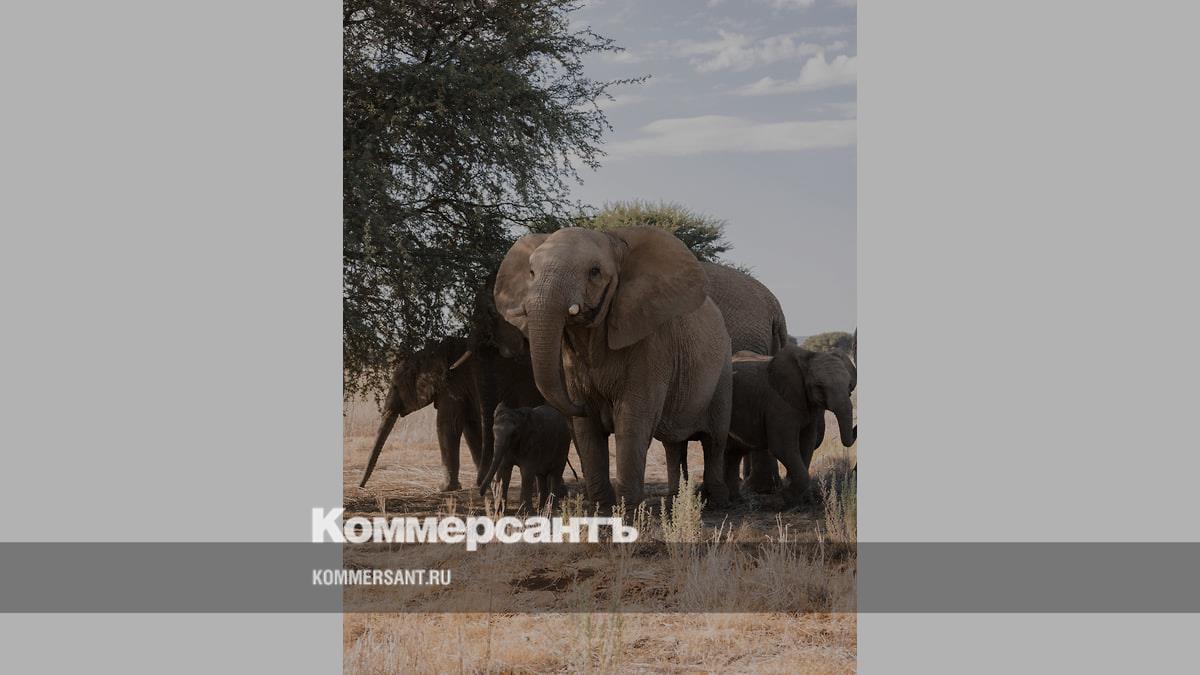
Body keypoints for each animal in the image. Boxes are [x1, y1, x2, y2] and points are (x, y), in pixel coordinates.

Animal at [494, 226, 733, 509]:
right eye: (531, 273)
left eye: (594, 272)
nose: (576, 405)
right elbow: (588, 431)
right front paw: (602, 510)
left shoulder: (650, 345)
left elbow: (632, 421)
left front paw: (628, 512)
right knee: (673, 445)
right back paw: (675, 501)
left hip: (723, 371)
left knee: (715, 440)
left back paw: (718, 502)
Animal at [723, 347, 857, 503]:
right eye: (819, 386)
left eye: (849, 385)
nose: (856, 428)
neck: (807, 356)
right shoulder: (779, 403)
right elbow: (782, 447)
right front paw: (784, 497)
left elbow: (807, 444)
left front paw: (799, 497)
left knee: (733, 452)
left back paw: (736, 500)